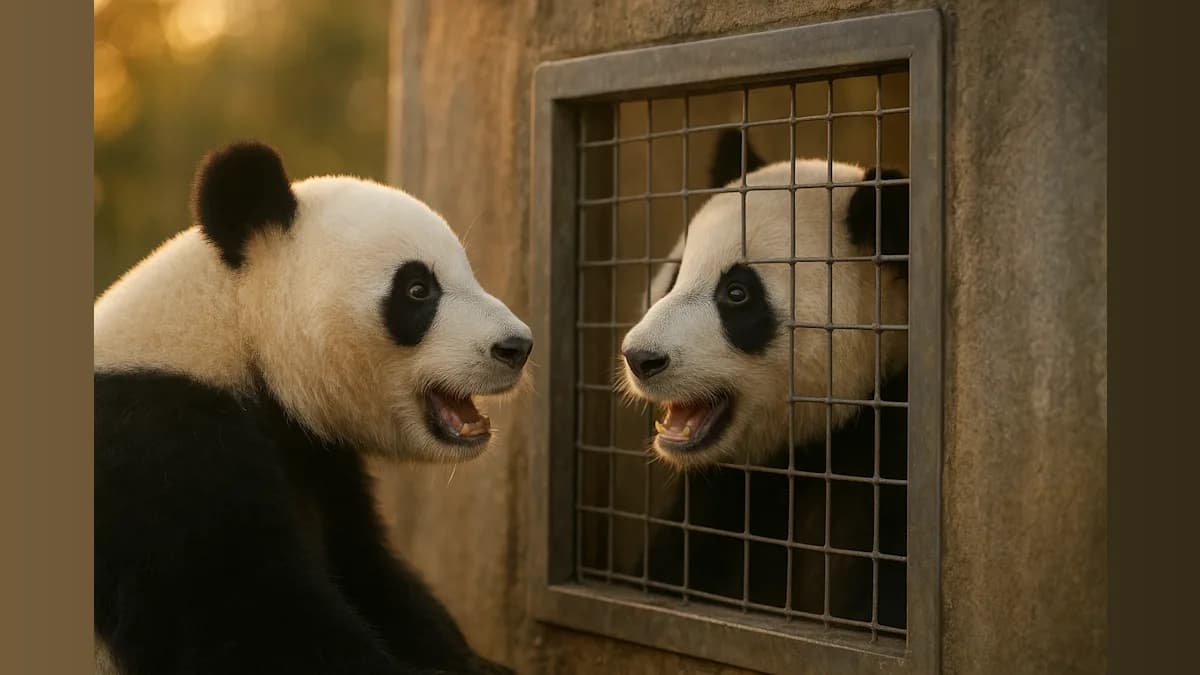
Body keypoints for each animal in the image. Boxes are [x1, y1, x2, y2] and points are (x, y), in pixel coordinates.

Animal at [94, 142, 530, 675]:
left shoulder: (321, 461)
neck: (234, 327)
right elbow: (247, 623)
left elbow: (369, 570)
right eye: (418, 289)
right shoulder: (156, 452)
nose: (517, 346)